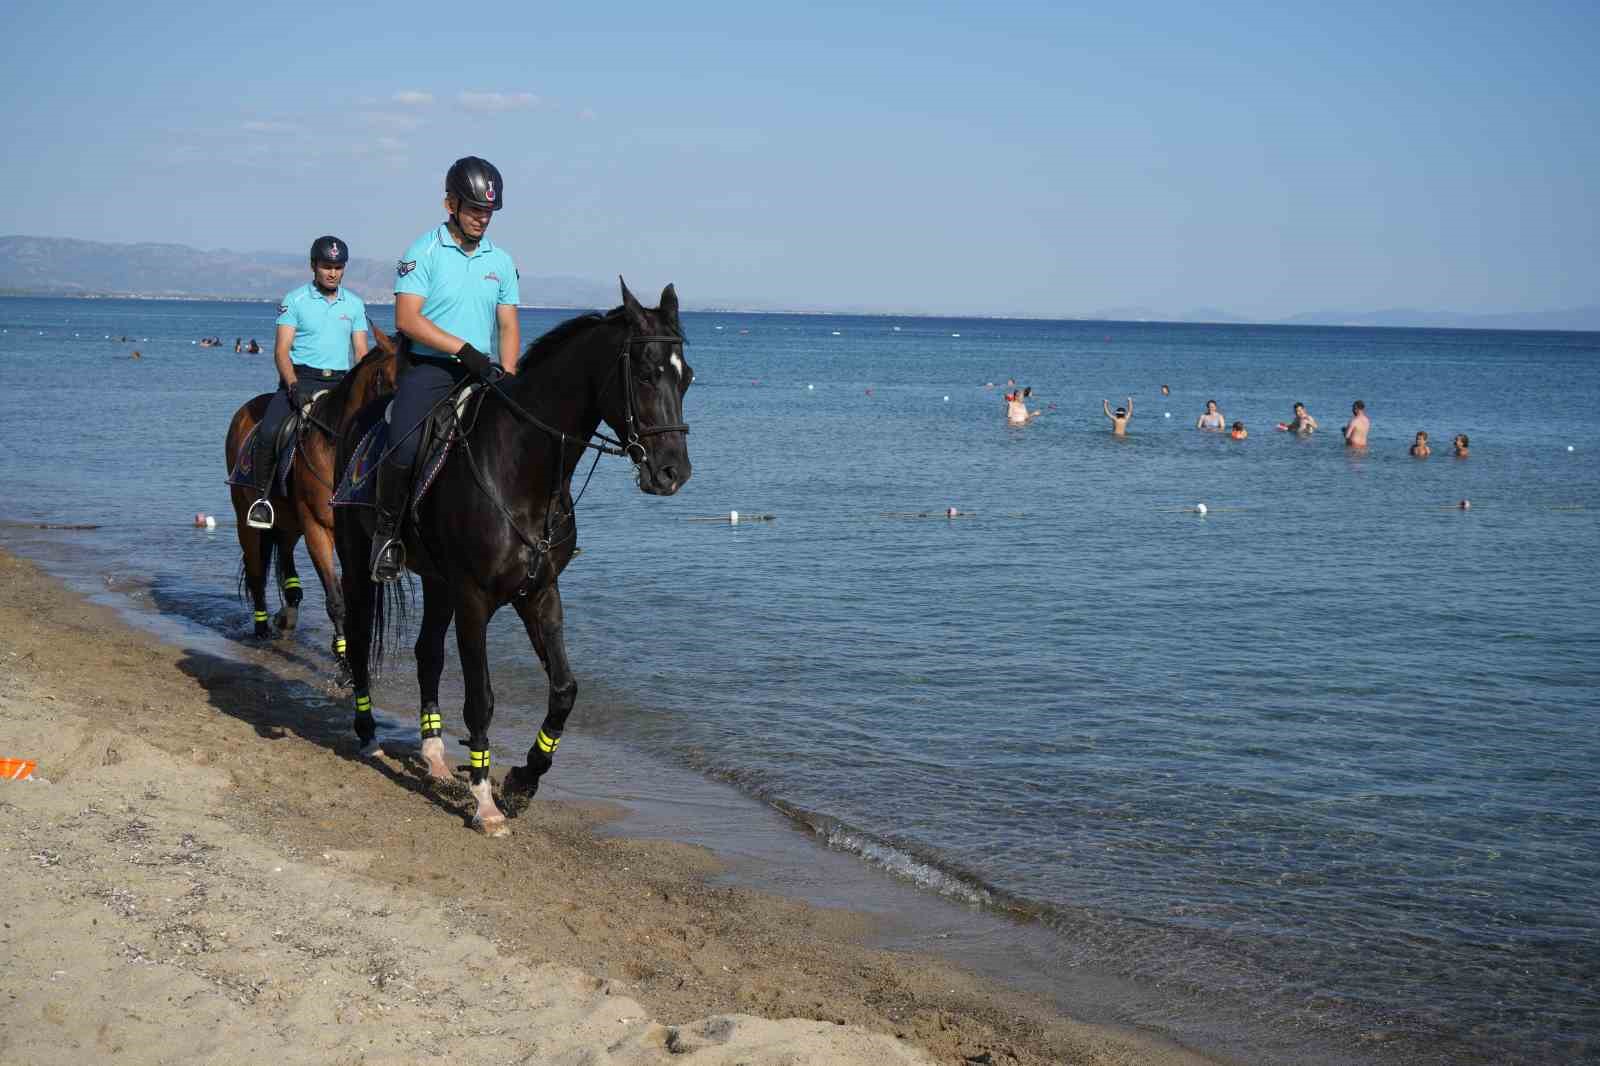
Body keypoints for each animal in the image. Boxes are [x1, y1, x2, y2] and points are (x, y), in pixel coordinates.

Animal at [224, 323, 398, 672]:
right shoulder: (318, 528)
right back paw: (262, 629)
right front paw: (344, 663)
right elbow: (336, 599)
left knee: (285, 562)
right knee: (256, 570)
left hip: (290, 521)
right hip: (245, 517)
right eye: (386, 377)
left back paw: (287, 615)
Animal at [334, 280, 691, 832]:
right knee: (356, 636)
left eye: (686, 377)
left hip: (438, 583)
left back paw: (435, 756)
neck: (523, 469)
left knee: (427, 653)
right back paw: (369, 734)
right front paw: (485, 801)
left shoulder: (539, 593)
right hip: (357, 561)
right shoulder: (474, 600)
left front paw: (524, 780)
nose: (674, 472)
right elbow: (481, 699)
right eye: (646, 374)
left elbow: (564, 690)